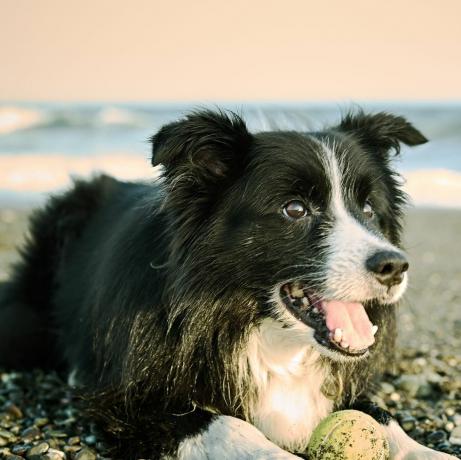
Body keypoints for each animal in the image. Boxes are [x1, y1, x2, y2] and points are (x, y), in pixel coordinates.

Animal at [0, 109, 452, 458]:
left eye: (368, 208)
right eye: (294, 209)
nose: (394, 266)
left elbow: (385, 418)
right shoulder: (129, 404)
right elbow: (226, 424)